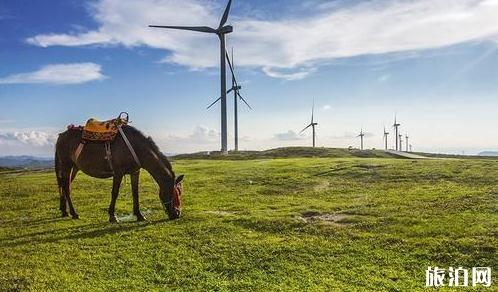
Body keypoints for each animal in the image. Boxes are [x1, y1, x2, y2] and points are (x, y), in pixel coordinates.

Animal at [55, 124, 183, 222]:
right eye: (173, 193)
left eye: (179, 193)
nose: (177, 214)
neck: (137, 147)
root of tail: (61, 135)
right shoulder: (118, 172)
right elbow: (115, 193)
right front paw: (112, 216)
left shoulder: (135, 172)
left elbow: (135, 193)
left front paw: (139, 215)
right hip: (66, 166)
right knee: (66, 187)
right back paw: (74, 213)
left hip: (74, 168)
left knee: (65, 186)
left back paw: (64, 211)